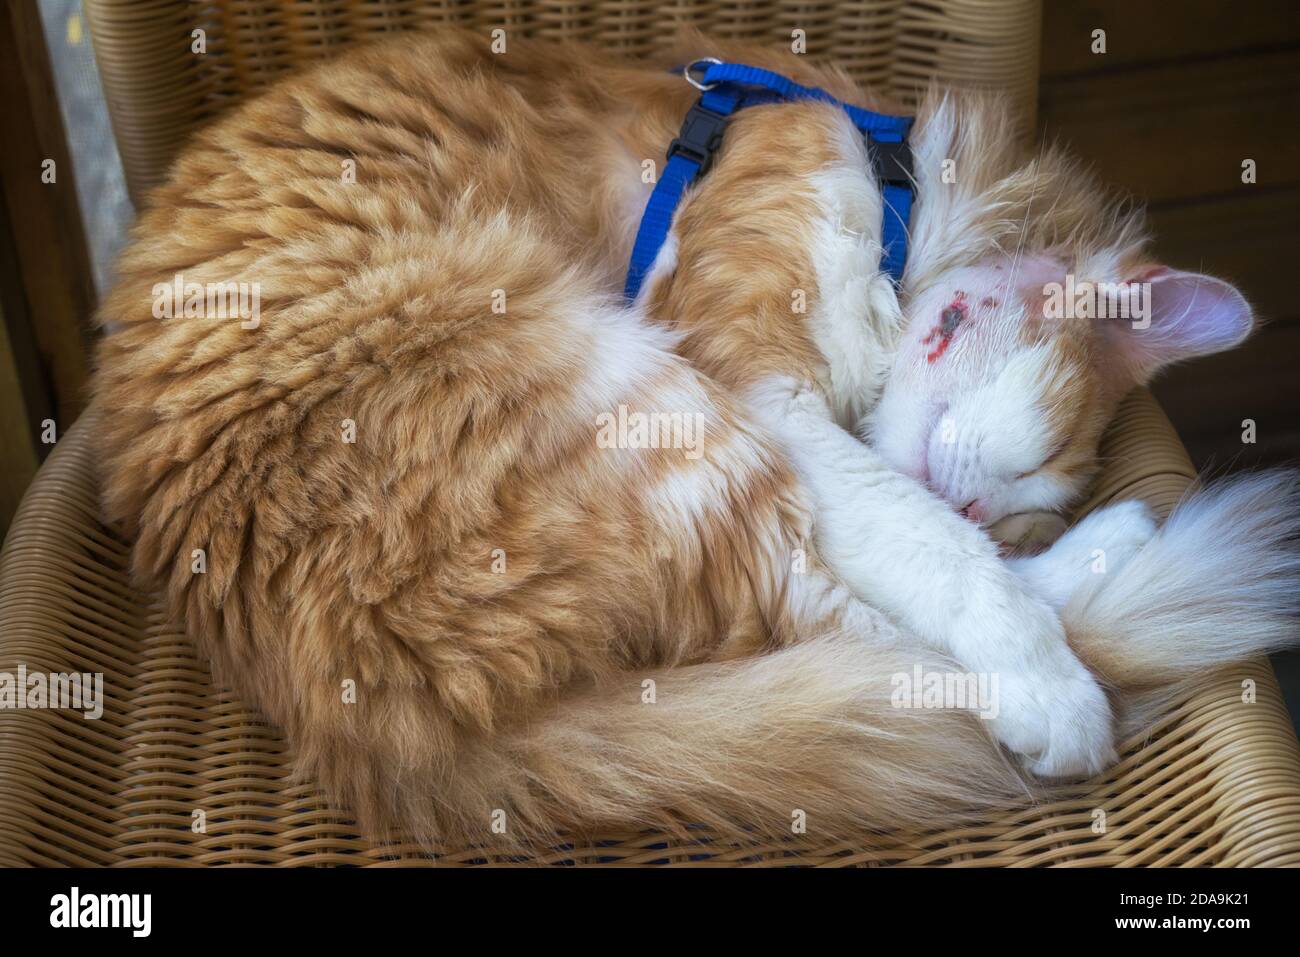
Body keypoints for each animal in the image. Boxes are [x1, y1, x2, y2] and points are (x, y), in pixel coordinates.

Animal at [94, 29, 1300, 847]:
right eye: (1036, 471)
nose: (984, 506)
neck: (897, 183)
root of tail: (369, 726)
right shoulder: (763, 382)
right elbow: (932, 545)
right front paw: (1043, 676)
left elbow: (928, 539)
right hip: (634, 401)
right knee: (857, 633)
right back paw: (1081, 640)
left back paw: (1124, 548)